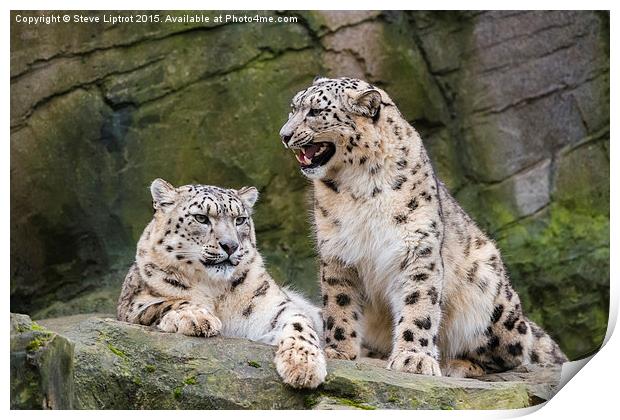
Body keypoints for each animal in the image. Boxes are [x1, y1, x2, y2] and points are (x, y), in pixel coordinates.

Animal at [118, 177, 326, 388]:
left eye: (240, 220)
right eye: (201, 218)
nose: (231, 246)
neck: (214, 288)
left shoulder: (272, 306)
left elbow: (299, 322)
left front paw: (303, 364)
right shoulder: (132, 305)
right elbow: (166, 302)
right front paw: (196, 317)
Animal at [280, 75, 568, 378]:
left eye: (315, 111)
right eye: (293, 108)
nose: (284, 135)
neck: (357, 186)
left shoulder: (417, 245)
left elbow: (419, 302)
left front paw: (413, 358)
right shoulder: (337, 249)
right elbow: (339, 302)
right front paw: (339, 350)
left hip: (491, 294)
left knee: (514, 354)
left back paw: (457, 364)